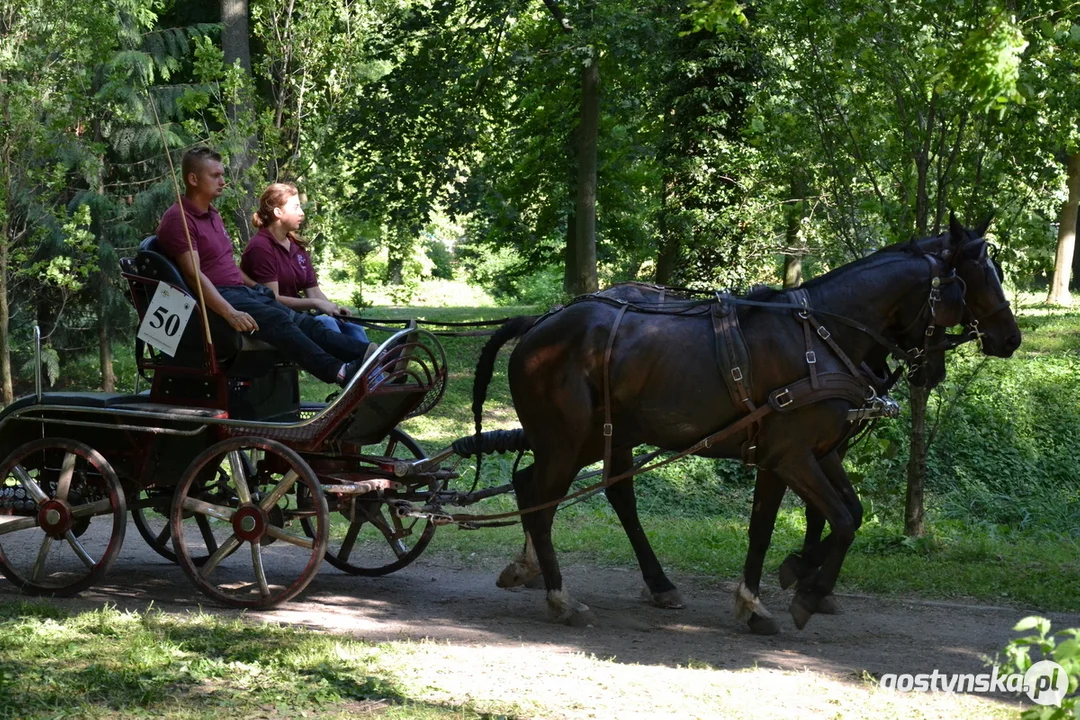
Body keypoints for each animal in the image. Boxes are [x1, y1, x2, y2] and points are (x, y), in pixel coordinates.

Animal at [475, 218, 1019, 630]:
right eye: (971, 280)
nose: (1010, 338)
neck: (822, 336)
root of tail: (538, 323)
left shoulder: (799, 454)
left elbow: (794, 523)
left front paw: (768, 593)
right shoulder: (794, 455)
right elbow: (840, 521)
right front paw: (806, 591)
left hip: (596, 439)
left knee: (552, 490)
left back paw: (629, 581)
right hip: (567, 442)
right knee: (542, 505)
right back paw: (561, 598)